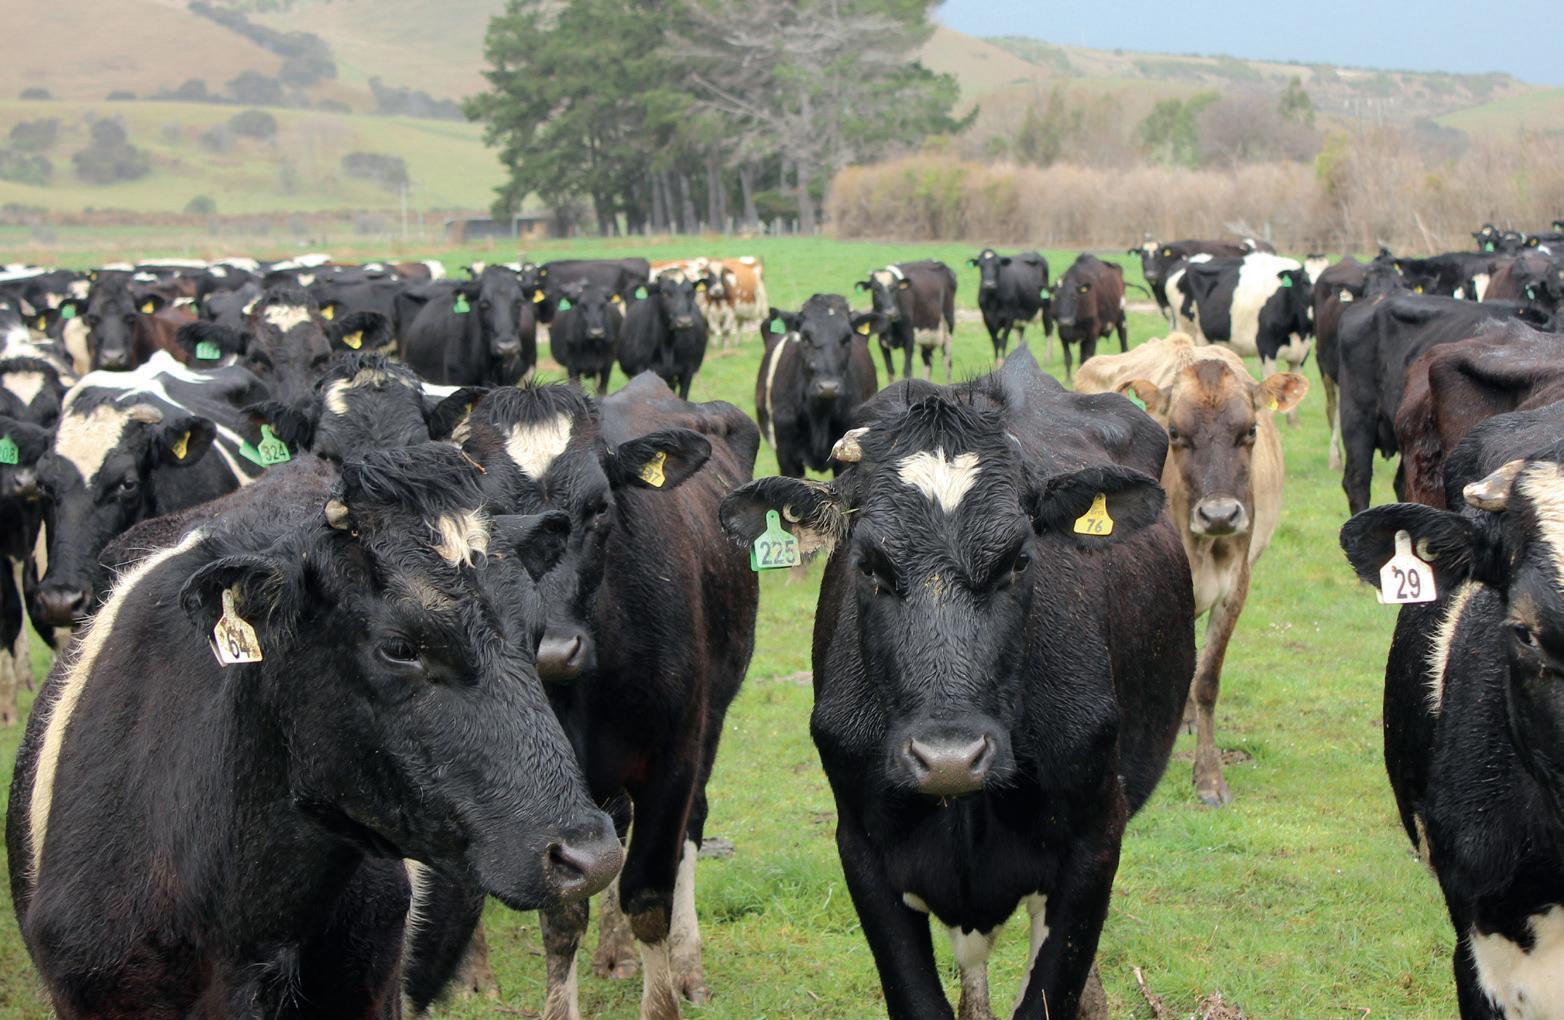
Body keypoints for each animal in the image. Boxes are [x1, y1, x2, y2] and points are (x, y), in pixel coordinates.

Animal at [447, 373, 759, 1020]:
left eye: (598, 508)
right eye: (487, 520)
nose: (550, 649)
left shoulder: (673, 758)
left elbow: (648, 892)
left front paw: (662, 998)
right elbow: (564, 911)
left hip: (712, 721)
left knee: (690, 831)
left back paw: (685, 967)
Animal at [718, 346, 1194, 1020]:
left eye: (1019, 559)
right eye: (868, 566)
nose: (949, 757)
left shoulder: (1096, 839)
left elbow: (1051, 993)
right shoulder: (861, 847)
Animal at [1077, 334, 1308, 806]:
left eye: (1250, 430)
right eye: (1174, 432)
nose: (1219, 515)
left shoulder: (1236, 587)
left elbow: (1207, 680)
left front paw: (1209, 779)